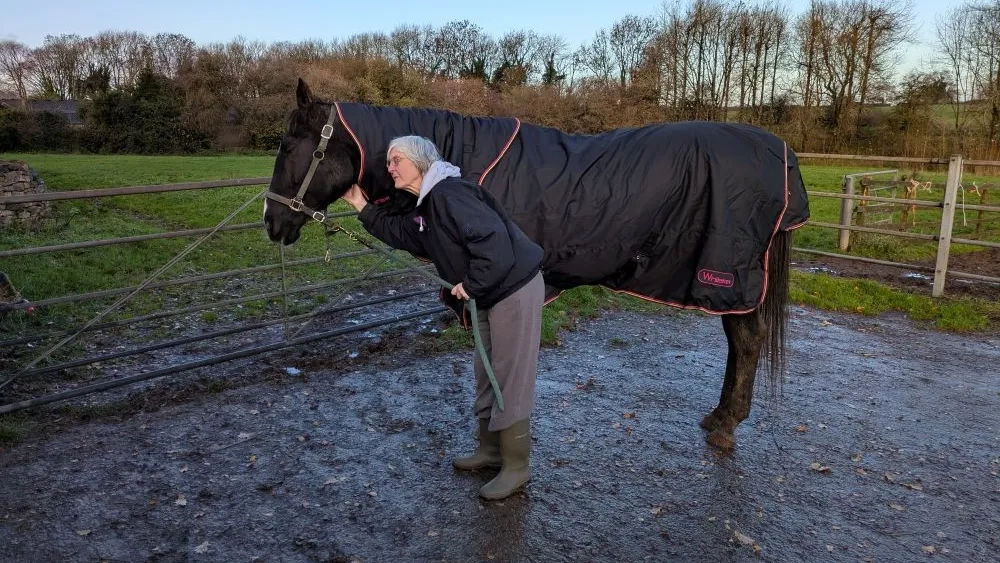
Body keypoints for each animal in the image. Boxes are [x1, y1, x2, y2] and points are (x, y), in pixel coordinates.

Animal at [263, 79, 810, 450]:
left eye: (288, 146)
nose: (271, 221)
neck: (457, 164)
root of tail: (780, 152)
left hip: (729, 277)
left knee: (747, 340)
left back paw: (725, 424)